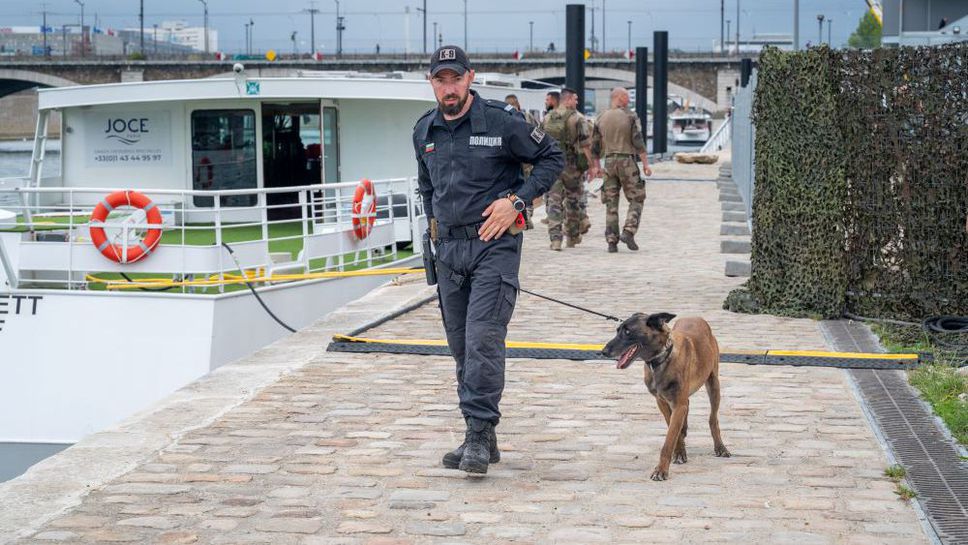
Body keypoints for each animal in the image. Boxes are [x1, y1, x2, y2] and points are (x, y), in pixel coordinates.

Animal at [600, 312, 728, 478]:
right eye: (617, 330)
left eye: (628, 332)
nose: (603, 351)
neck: (661, 359)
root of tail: (695, 317)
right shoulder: (662, 402)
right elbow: (674, 431)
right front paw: (679, 452)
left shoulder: (678, 405)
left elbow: (669, 439)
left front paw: (661, 470)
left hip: (713, 385)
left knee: (713, 419)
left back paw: (720, 447)